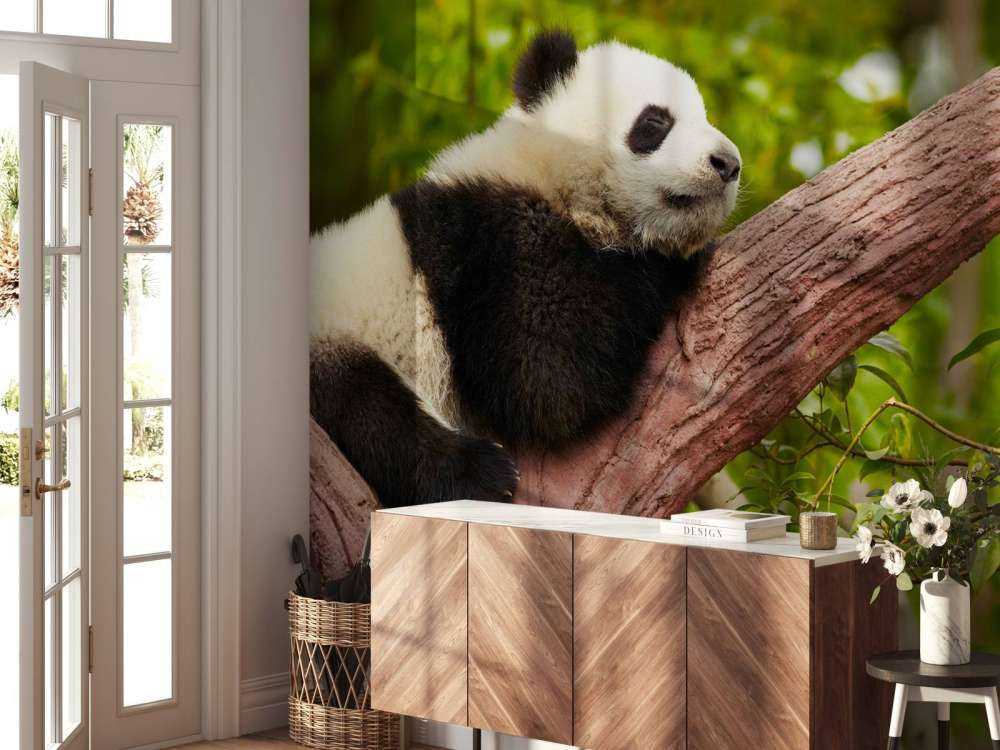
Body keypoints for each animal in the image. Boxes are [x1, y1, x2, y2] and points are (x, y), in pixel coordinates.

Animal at [310, 30, 741, 508]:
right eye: (655, 122)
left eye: (705, 116)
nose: (728, 164)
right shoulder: (492, 243)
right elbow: (547, 379)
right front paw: (674, 262)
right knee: (366, 405)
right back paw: (479, 473)